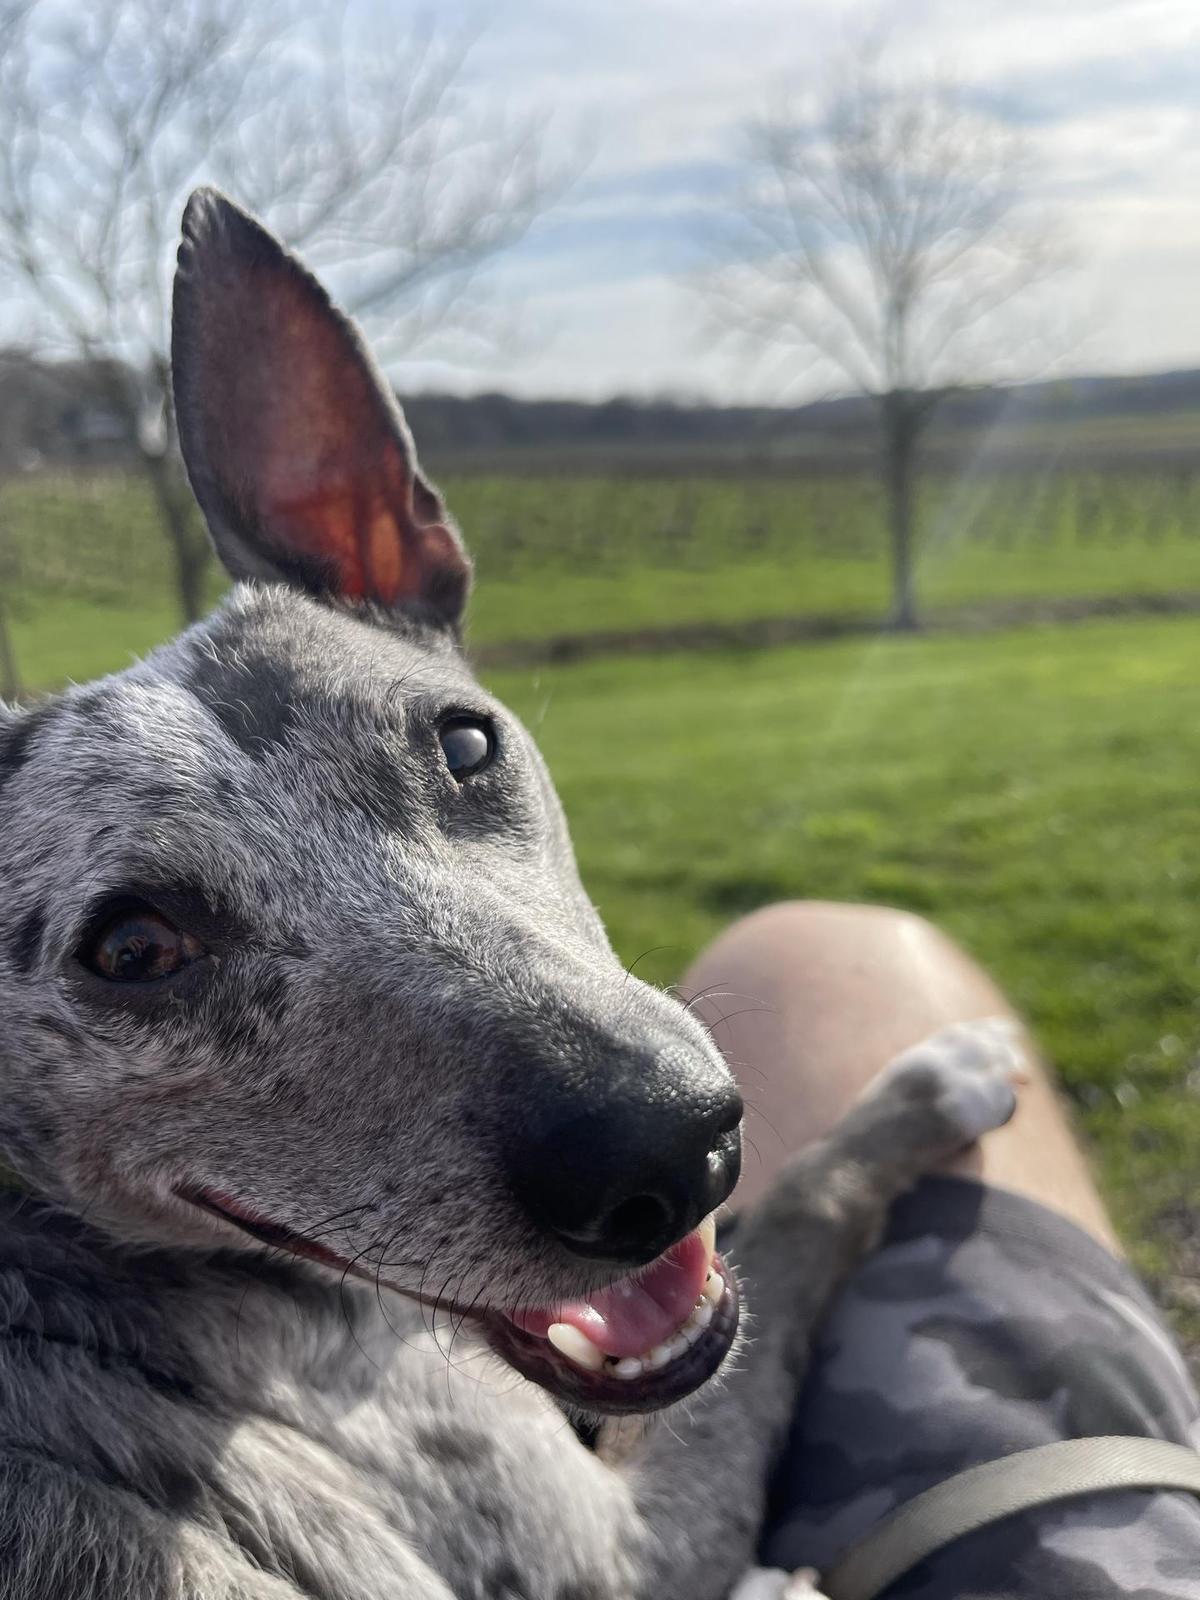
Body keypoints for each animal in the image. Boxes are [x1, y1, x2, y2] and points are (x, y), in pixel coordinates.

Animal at [0, 190, 1024, 1600]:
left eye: (466, 743)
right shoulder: (627, 1546)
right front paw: (922, 1087)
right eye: (132, 946)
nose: (670, 1149)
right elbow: (803, 1211)